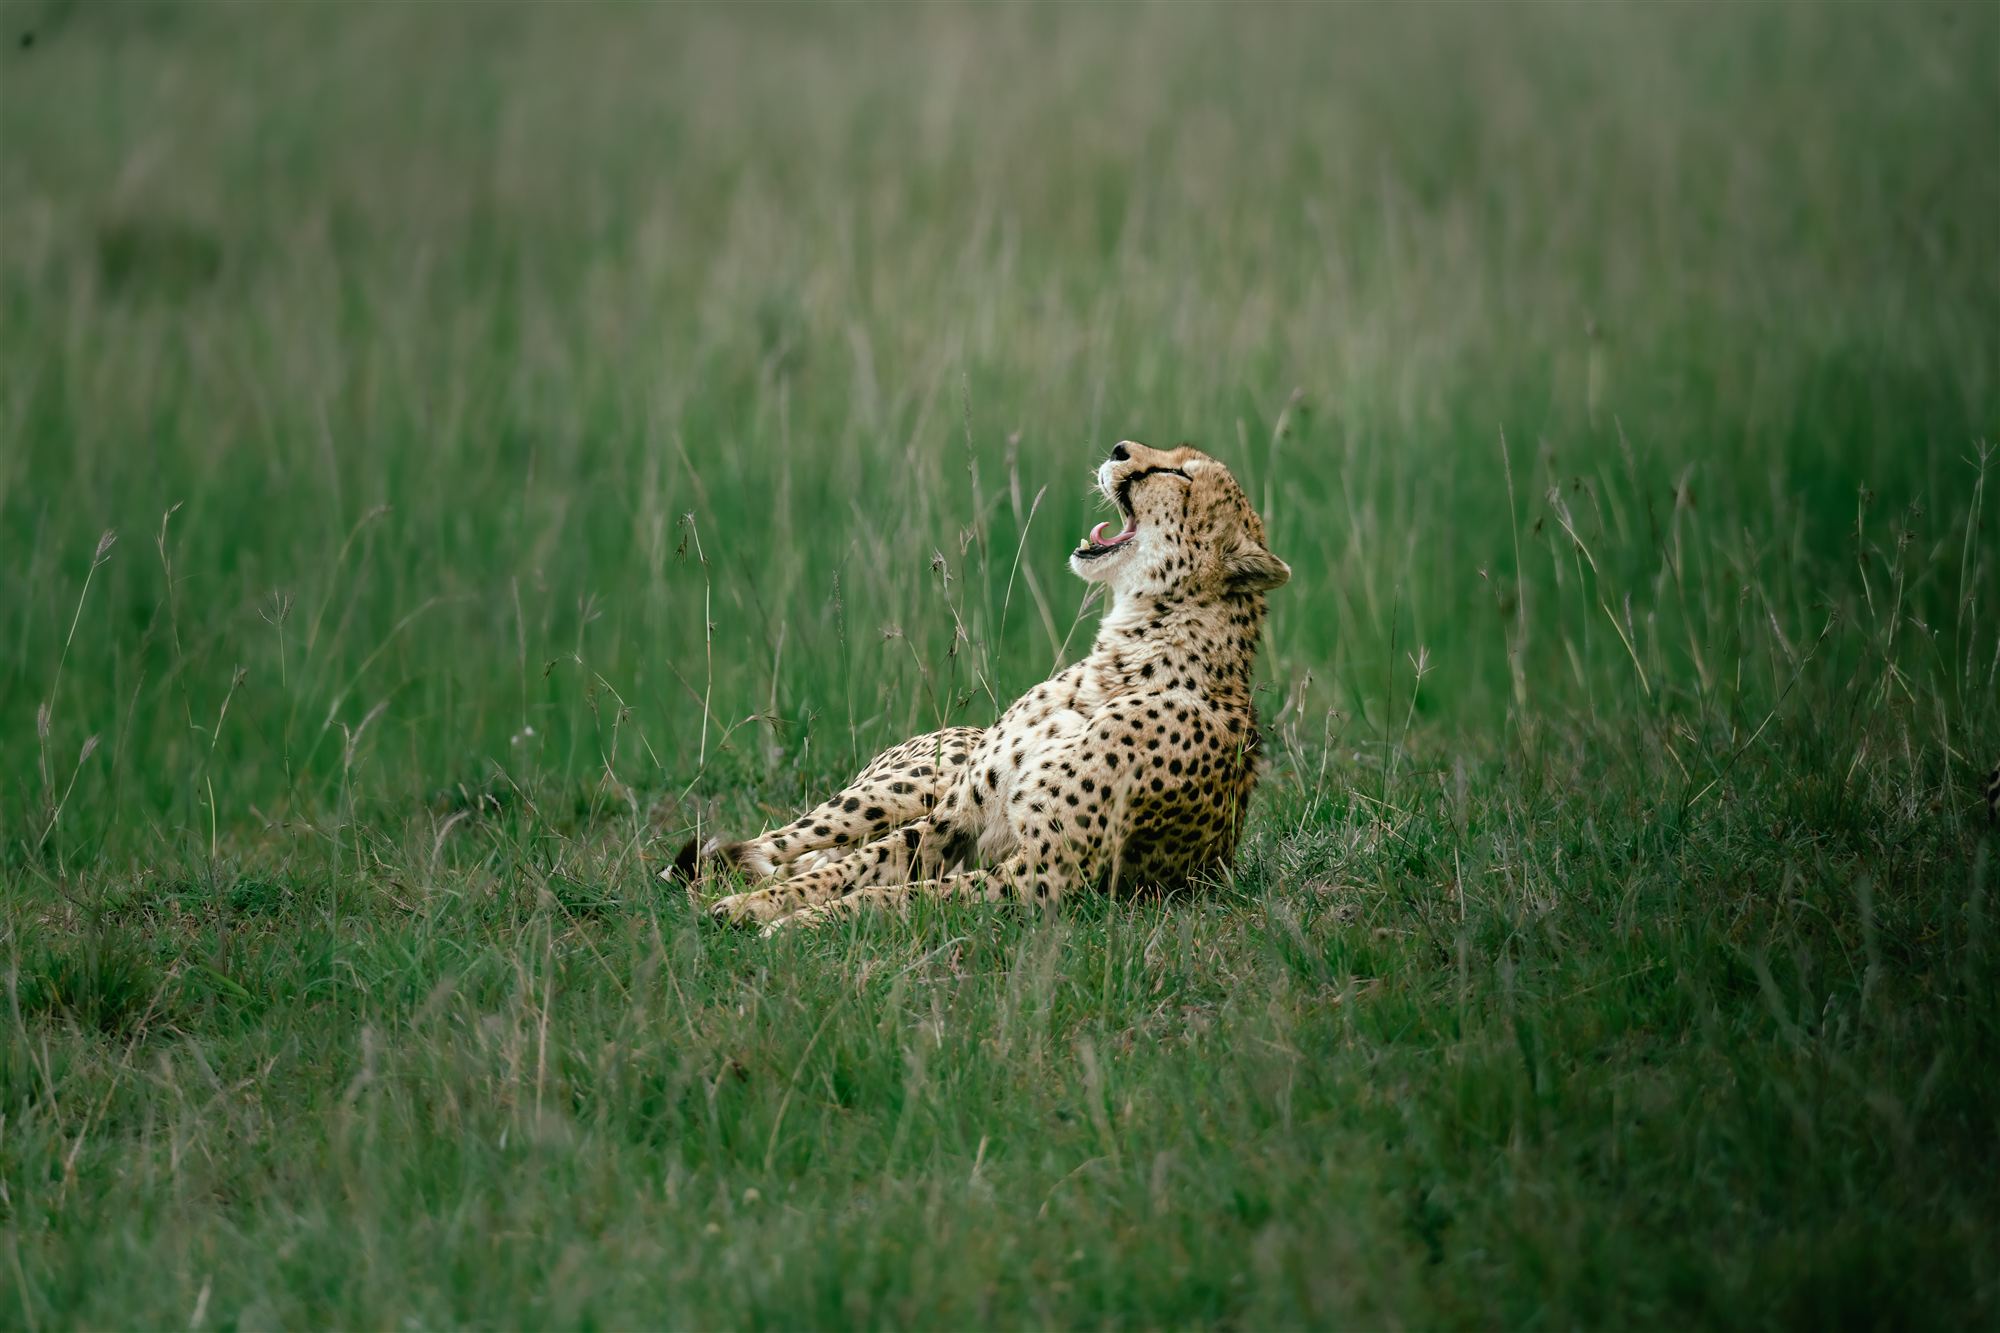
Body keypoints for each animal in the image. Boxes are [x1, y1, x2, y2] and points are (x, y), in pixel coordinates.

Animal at [667, 440, 1291, 933]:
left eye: (1179, 474)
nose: (1118, 449)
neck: (1121, 662)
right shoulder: (951, 822)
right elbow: (856, 870)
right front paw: (757, 907)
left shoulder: (1040, 876)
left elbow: (895, 894)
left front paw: (804, 921)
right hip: (899, 788)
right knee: (772, 844)